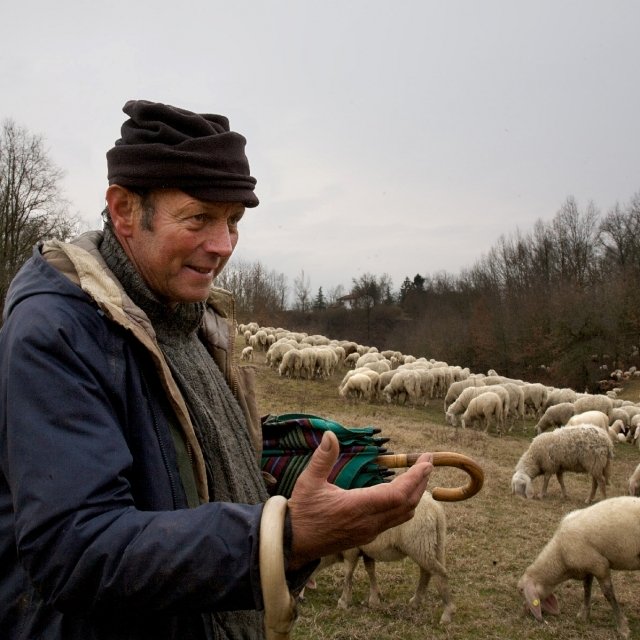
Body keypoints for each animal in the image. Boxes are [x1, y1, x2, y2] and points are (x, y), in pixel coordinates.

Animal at [312, 492, 452, 624]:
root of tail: (436, 508)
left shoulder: (351, 551)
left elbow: (348, 574)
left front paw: (343, 602)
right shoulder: (367, 551)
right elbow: (370, 570)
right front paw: (374, 599)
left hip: (419, 545)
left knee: (439, 573)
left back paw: (447, 613)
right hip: (434, 544)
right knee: (427, 572)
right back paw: (415, 602)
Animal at [516, 498, 640, 636]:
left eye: (521, 590)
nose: (524, 611)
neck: (560, 556)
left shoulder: (599, 565)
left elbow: (608, 594)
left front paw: (622, 627)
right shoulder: (587, 567)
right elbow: (586, 589)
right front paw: (583, 615)